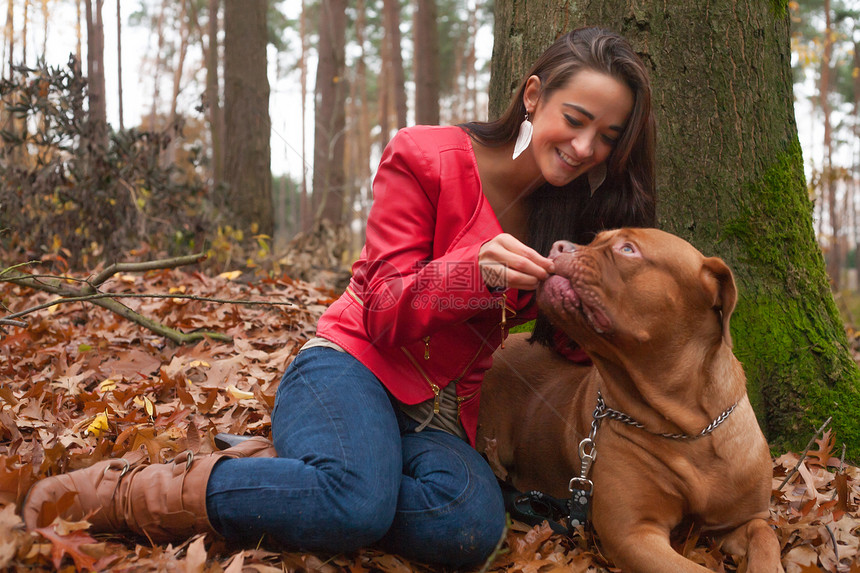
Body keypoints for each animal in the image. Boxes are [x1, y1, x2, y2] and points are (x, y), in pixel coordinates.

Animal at [480, 228, 784, 572]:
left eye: (627, 249)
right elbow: (695, 569)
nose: (558, 246)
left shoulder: (742, 520)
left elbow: (765, 535)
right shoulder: (633, 534)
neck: (688, 426)